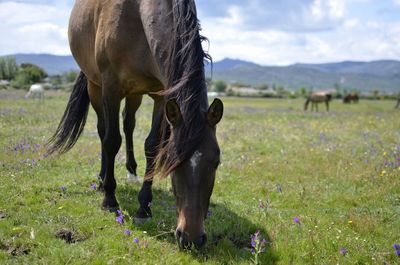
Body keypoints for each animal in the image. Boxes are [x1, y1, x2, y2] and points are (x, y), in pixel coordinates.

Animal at [48, 0, 223, 248]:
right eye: (173, 162)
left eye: (216, 162)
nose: (191, 238)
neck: (137, 14)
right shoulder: (111, 88)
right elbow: (112, 141)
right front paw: (110, 200)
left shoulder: (162, 95)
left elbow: (152, 145)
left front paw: (144, 207)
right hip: (95, 86)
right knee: (104, 131)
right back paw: (102, 180)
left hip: (135, 93)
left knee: (128, 122)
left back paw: (131, 171)